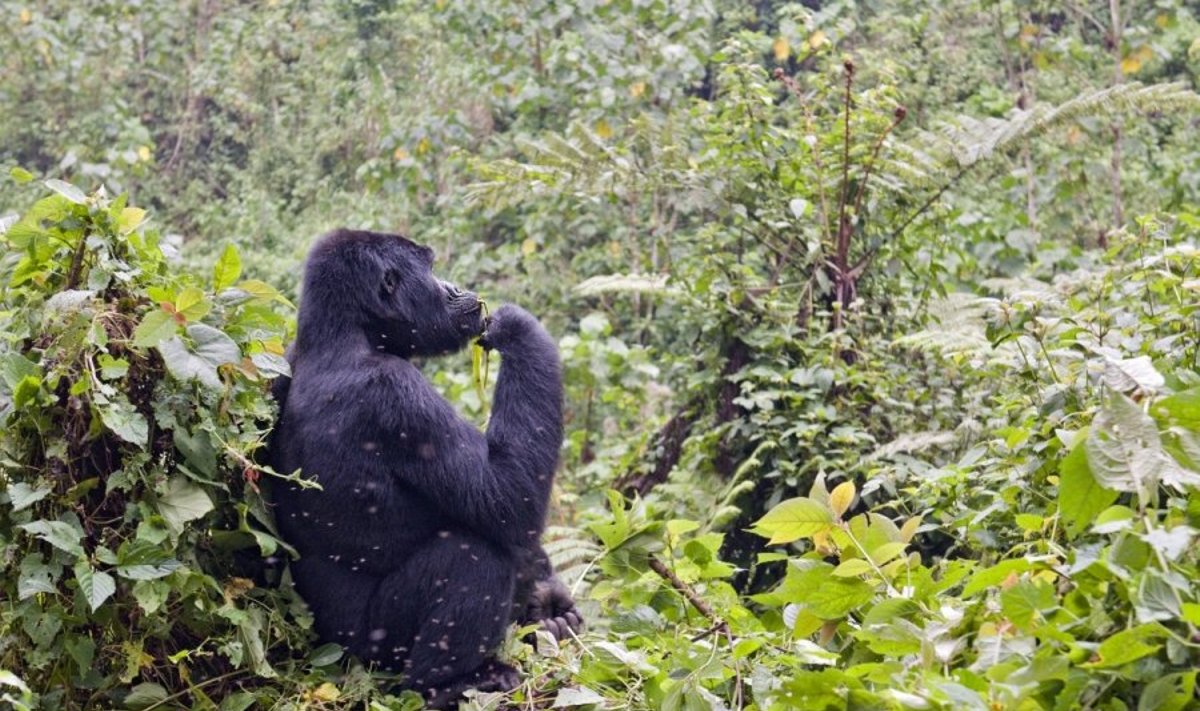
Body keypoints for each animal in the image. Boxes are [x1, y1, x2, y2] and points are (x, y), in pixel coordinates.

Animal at [266, 229, 580, 706]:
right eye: (430, 269)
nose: (454, 287)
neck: (345, 334)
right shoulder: (396, 394)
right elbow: (508, 502)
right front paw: (518, 328)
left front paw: (552, 605)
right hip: (369, 656)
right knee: (473, 554)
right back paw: (450, 683)